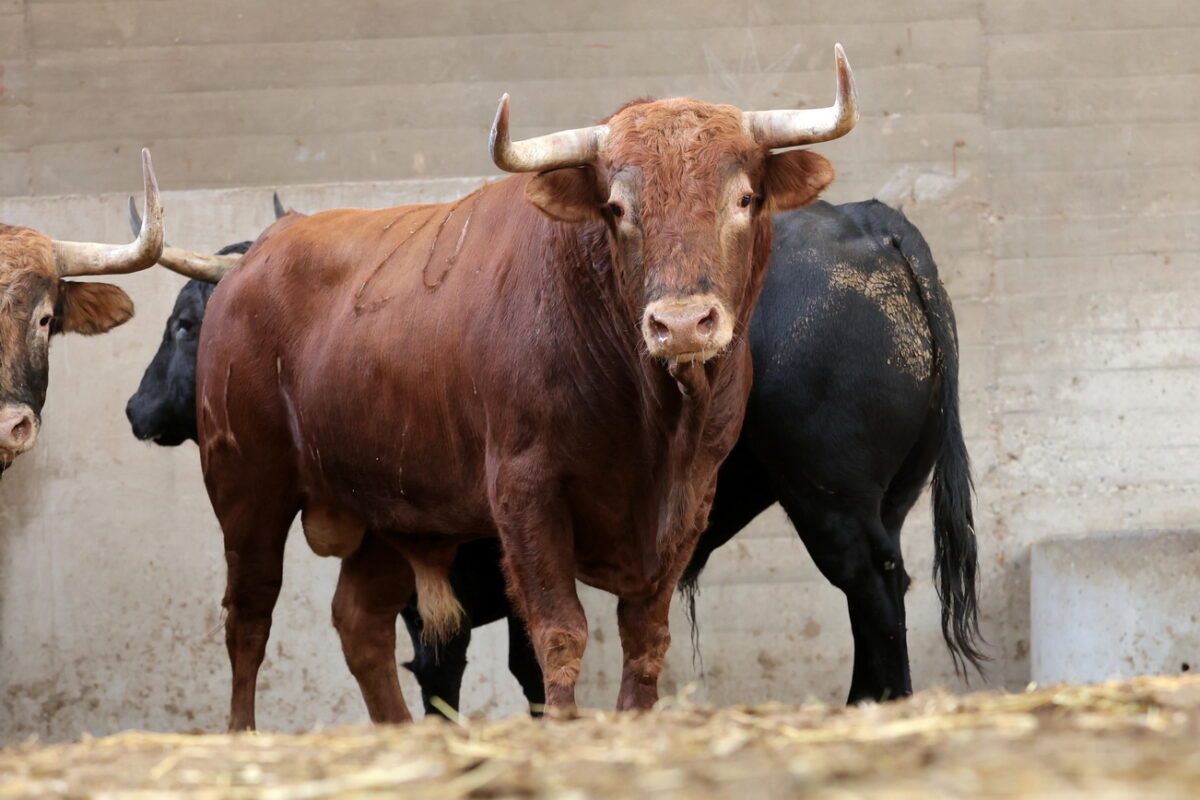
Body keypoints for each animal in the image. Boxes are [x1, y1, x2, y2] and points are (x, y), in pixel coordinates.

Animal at [126, 200, 979, 714]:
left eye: (185, 322)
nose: (136, 409)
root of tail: (869, 220)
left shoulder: (446, 595)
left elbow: (452, 676)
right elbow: (528, 668)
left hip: (830, 500)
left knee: (875, 597)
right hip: (884, 500)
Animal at [184, 47, 854, 729]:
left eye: (744, 198)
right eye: (617, 208)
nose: (683, 323)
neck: (650, 418)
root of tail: (256, 256)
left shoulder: (690, 499)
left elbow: (646, 639)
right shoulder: (524, 493)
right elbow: (559, 632)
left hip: (384, 504)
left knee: (359, 622)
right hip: (246, 487)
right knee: (249, 618)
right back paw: (242, 732)